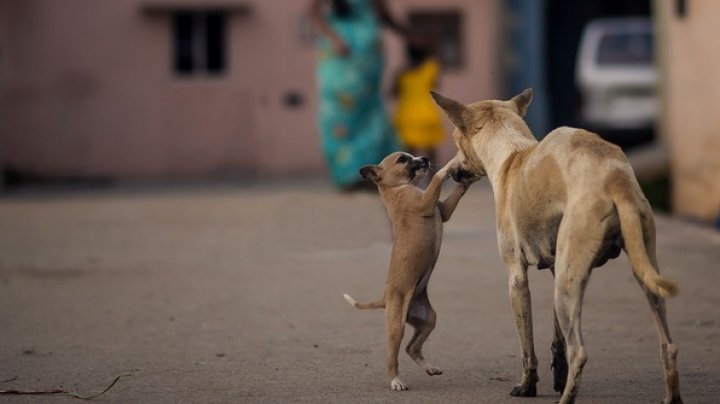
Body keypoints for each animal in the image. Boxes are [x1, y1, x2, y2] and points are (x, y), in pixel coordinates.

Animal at [344, 152, 472, 392]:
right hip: (397, 327)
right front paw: (451, 163)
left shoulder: (443, 210)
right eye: (403, 159)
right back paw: (396, 381)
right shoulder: (426, 203)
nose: (425, 158)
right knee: (392, 357)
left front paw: (466, 176)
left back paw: (429, 368)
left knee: (412, 348)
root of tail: (385, 298)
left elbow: (458, 190)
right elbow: (437, 178)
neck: (397, 190)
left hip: (428, 319)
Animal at [430, 89, 684, 404]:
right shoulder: (554, 268)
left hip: (568, 281)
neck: (513, 155)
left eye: (455, 142)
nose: (451, 171)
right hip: (635, 274)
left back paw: (566, 399)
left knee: (580, 352)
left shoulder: (517, 279)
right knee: (668, 345)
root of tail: (614, 178)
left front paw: (528, 387)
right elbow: (556, 341)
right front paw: (558, 381)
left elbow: (527, 347)